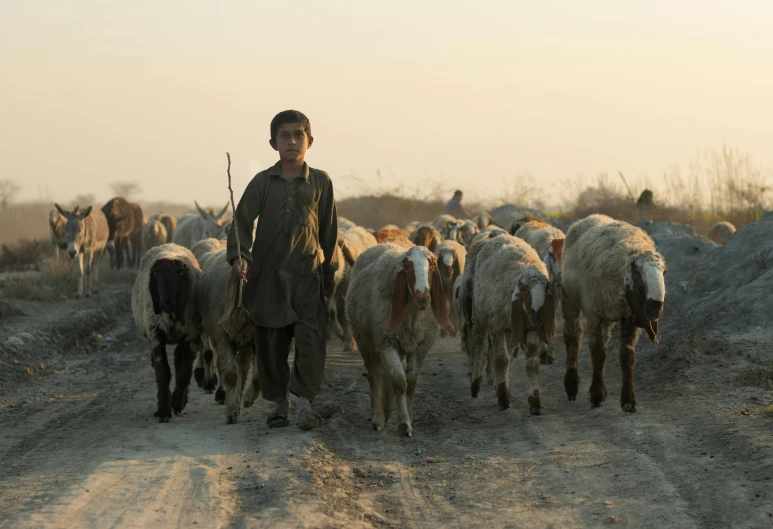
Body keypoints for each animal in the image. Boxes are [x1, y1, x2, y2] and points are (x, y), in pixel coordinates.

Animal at [131, 242, 202, 420]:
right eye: (156, 274)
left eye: (180, 274)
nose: (166, 302)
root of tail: (170, 244)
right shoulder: (155, 336)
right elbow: (163, 373)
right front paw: (163, 410)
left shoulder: (191, 337)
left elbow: (184, 371)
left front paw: (176, 403)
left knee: (178, 361)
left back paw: (180, 400)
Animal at [346, 241, 456, 436]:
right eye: (407, 267)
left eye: (432, 265)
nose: (423, 297)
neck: (413, 317)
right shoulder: (386, 342)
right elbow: (400, 381)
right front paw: (404, 424)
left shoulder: (420, 346)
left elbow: (411, 382)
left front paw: (409, 418)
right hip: (366, 343)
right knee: (375, 376)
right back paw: (378, 418)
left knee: (384, 374)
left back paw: (388, 410)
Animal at [468, 234, 552, 412]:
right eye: (524, 291)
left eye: (546, 291)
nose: (537, 320)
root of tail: (501, 236)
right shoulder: (497, 327)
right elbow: (501, 360)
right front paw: (503, 400)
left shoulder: (530, 330)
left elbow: (532, 364)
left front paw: (535, 402)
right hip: (480, 316)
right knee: (480, 347)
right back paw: (475, 385)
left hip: (511, 329)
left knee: (509, 354)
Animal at [556, 214, 668, 412]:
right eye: (637, 274)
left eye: (664, 272)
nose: (656, 308)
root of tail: (590, 217)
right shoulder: (594, 314)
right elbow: (598, 353)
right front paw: (597, 395)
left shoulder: (629, 316)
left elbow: (627, 355)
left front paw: (629, 400)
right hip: (570, 297)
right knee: (572, 338)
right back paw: (571, 386)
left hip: (607, 313)